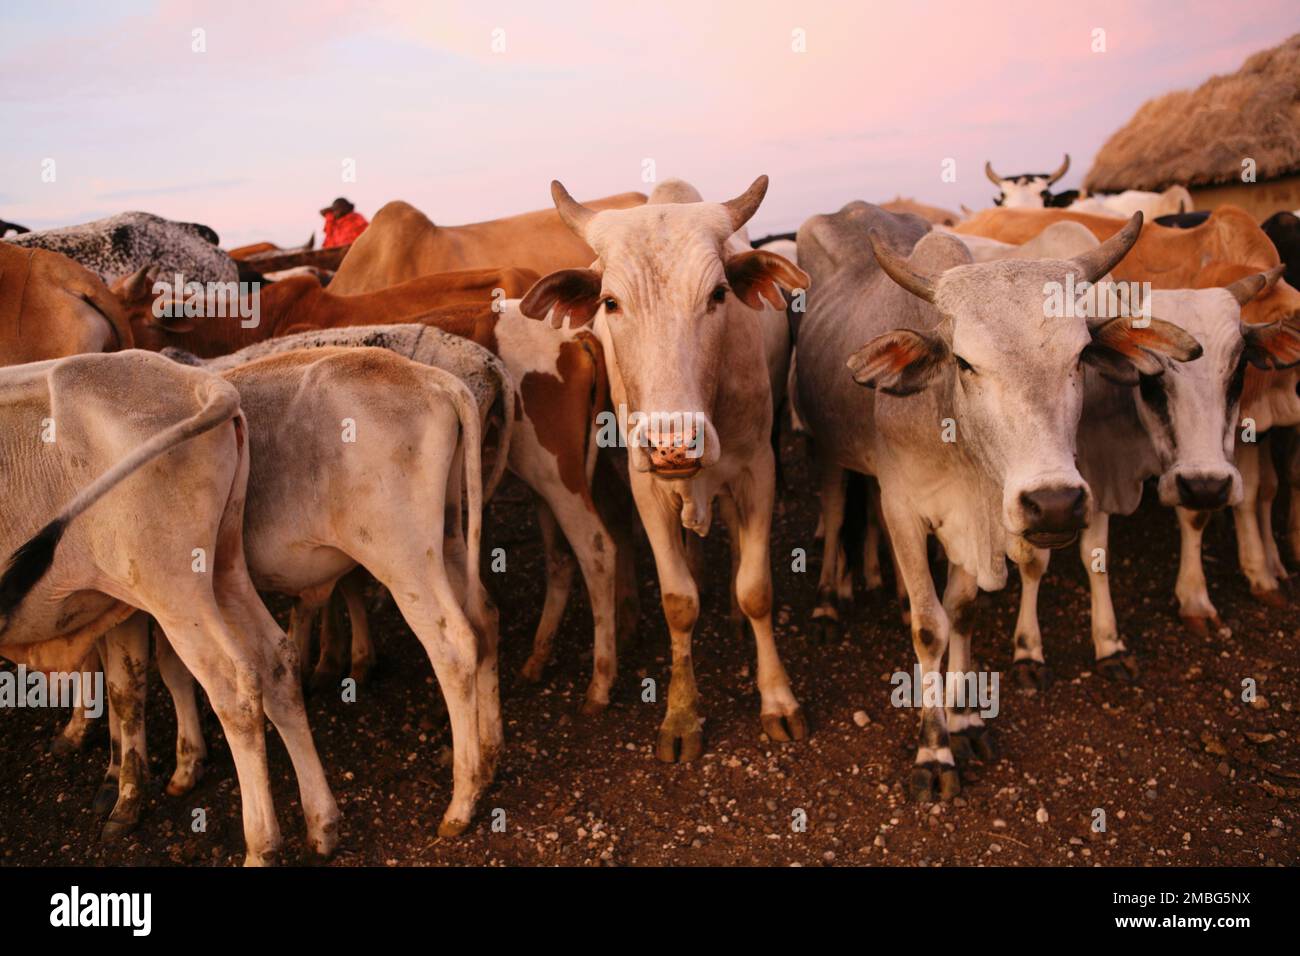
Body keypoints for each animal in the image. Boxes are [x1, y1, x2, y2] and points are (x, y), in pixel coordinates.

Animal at [1, 348, 335, 863]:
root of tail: (203, 385)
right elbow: (125, 688)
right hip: (221, 570)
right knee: (277, 662)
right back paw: (323, 824)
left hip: (174, 589)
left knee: (235, 690)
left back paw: (261, 846)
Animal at [520, 175, 811, 764]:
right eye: (610, 302)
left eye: (718, 294)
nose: (673, 444)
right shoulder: (646, 487)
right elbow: (678, 602)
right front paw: (680, 715)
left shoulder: (758, 471)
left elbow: (756, 590)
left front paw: (777, 699)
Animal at [790, 209, 1196, 801]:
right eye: (964, 363)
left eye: (1080, 356)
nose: (1054, 504)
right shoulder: (902, 509)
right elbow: (929, 627)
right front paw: (934, 750)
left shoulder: (973, 517)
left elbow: (960, 611)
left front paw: (964, 722)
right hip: (827, 450)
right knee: (839, 512)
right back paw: (826, 603)